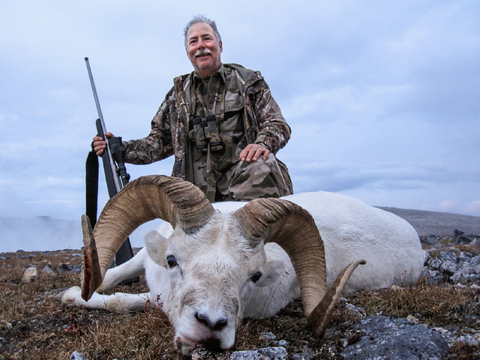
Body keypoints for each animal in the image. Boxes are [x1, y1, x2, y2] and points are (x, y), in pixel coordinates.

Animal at [58, 176, 426, 356]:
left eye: (255, 275)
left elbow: (128, 301)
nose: (210, 326)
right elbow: (114, 274)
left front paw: (73, 296)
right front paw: (75, 292)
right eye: (172, 259)